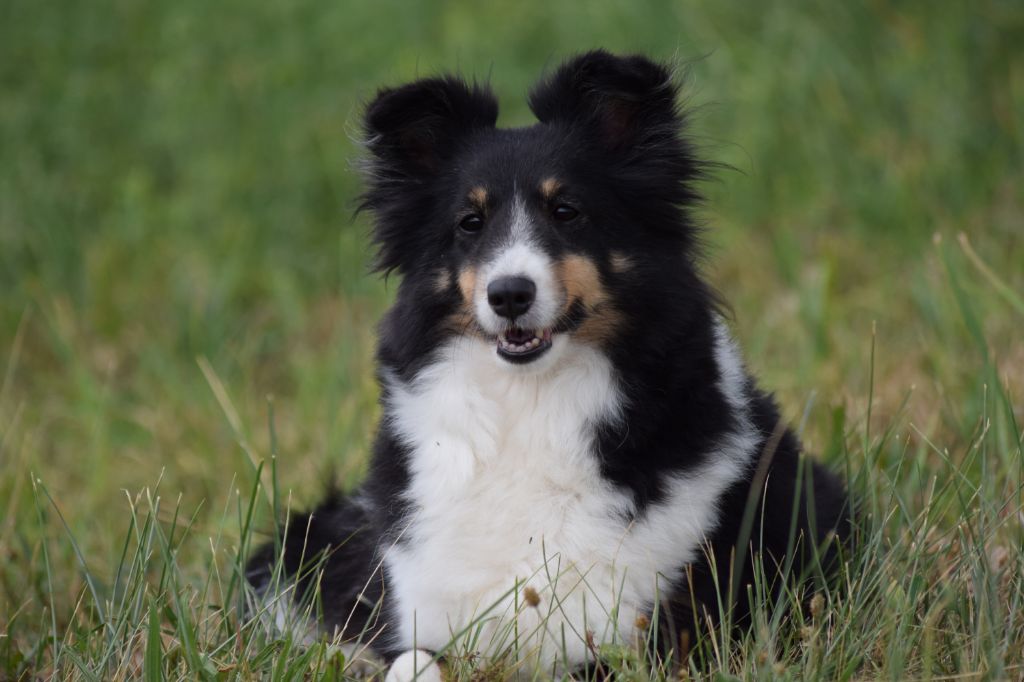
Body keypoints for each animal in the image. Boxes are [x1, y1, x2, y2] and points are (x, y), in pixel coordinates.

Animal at [245, 50, 847, 675]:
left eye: (566, 210)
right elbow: (411, 661)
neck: (530, 402)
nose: (509, 295)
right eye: (470, 222)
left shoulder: (652, 638)